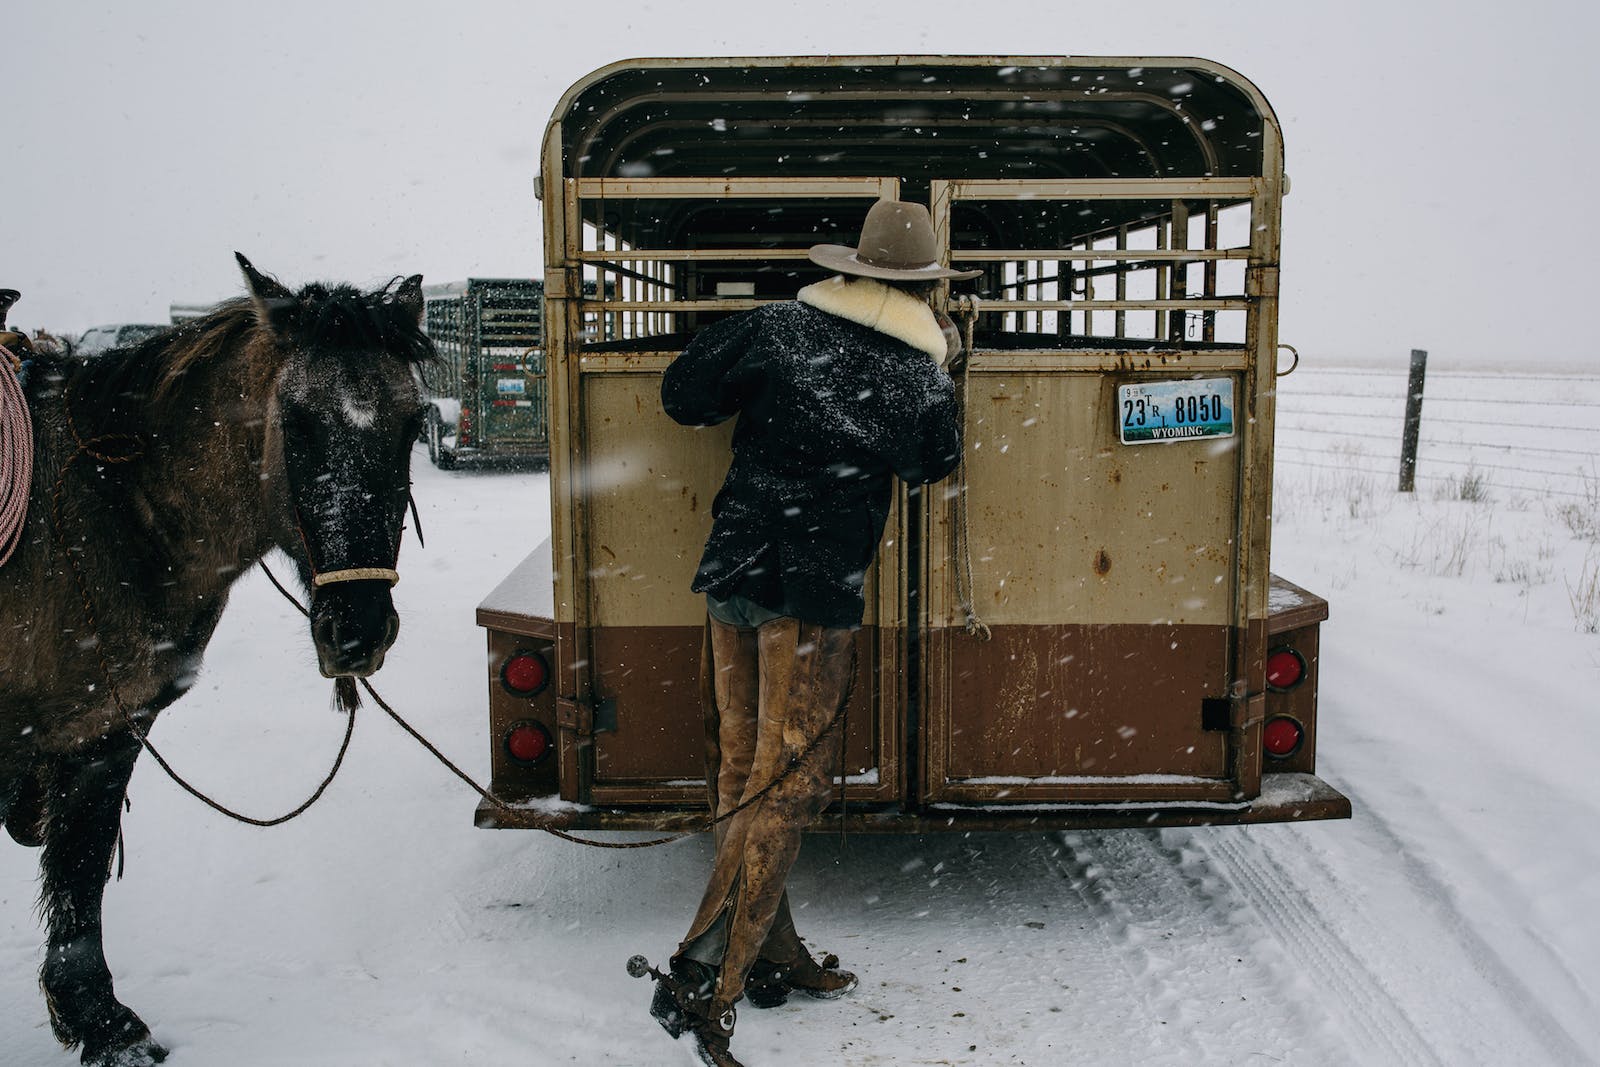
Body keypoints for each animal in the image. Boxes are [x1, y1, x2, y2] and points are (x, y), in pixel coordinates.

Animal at [0, 254, 432, 1062]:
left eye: (413, 424)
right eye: (294, 423)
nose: (359, 631)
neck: (101, 511)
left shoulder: (108, 728)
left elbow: (80, 868)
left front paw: (96, 1019)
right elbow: (76, 867)